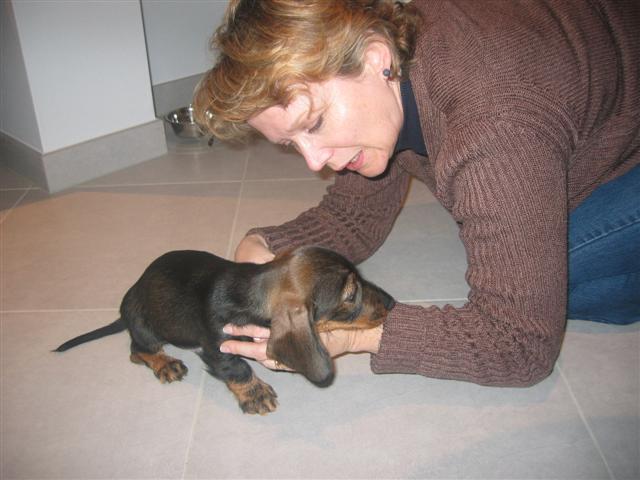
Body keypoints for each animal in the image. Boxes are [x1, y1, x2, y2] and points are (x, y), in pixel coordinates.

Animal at [53, 246, 395, 415]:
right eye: (350, 295)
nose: (392, 303)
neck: (249, 291)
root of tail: (127, 302)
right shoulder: (217, 346)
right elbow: (238, 369)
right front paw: (255, 394)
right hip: (144, 327)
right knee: (137, 351)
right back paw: (165, 363)